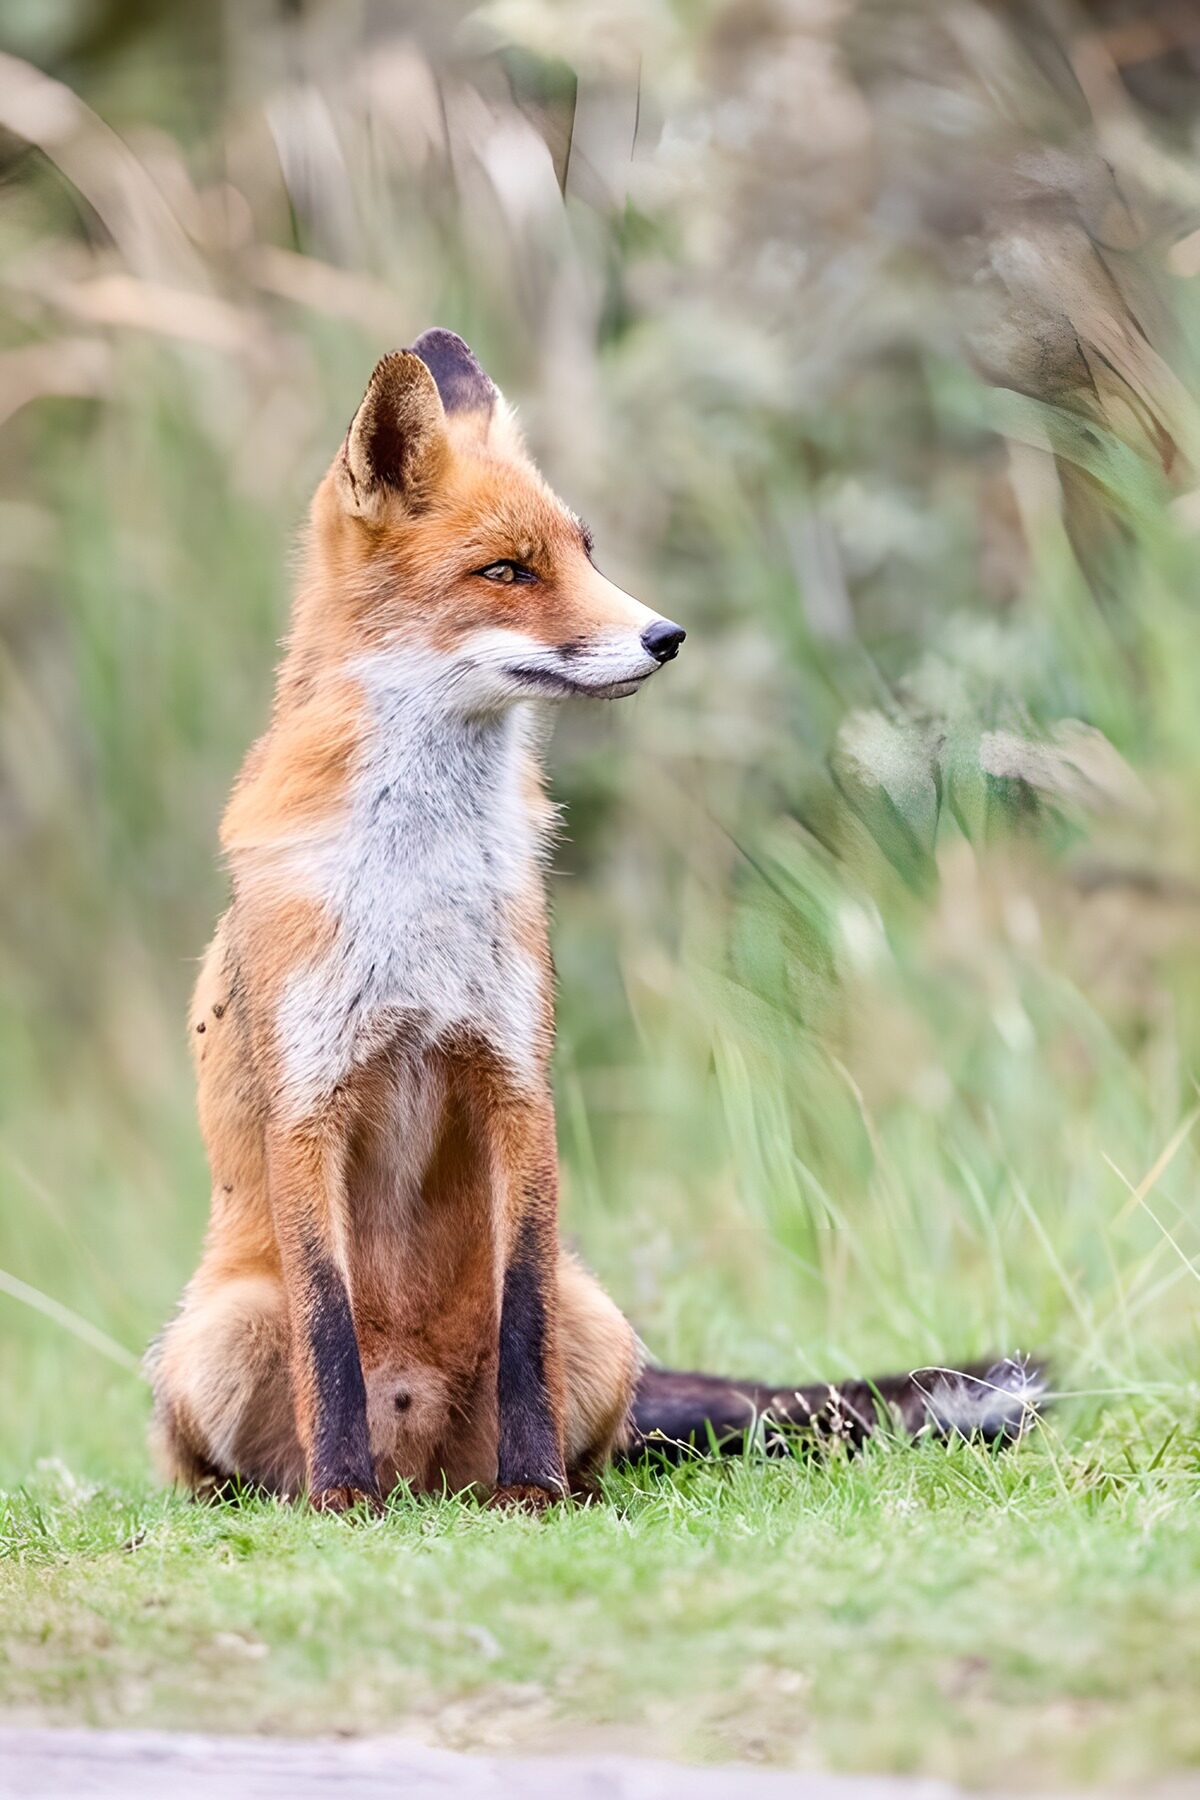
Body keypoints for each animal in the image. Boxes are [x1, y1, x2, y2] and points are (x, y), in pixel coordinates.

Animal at [149, 330, 1044, 1512]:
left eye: (584, 552)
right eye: (507, 572)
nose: (666, 636)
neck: (419, 884)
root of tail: (425, 1465)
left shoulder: (516, 1080)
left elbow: (521, 1315)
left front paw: (535, 1497)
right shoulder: (310, 1103)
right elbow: (327, 1337)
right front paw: (345, 1505)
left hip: (603, 1322)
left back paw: (536, 1489)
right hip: (215, 1333)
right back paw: (304, 1497)